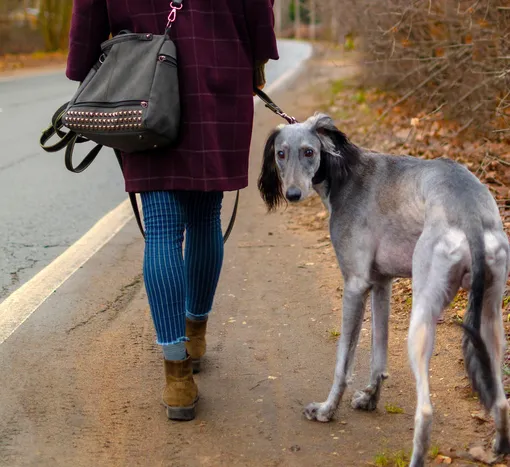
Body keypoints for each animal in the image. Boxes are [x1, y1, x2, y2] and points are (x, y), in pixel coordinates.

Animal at [256, 114, 510, 467]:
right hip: (490, 320)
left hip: (422, 320)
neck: (345, 173)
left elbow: (343, 363)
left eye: (309, 151)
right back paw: (496, 449)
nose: (293, 194)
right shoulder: (381, 283)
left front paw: (326, 410)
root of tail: (470, 213)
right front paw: (370, 398)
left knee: (426, 411)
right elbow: (378, 354)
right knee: (501, 400)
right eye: (281, 153)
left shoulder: (354, 285)